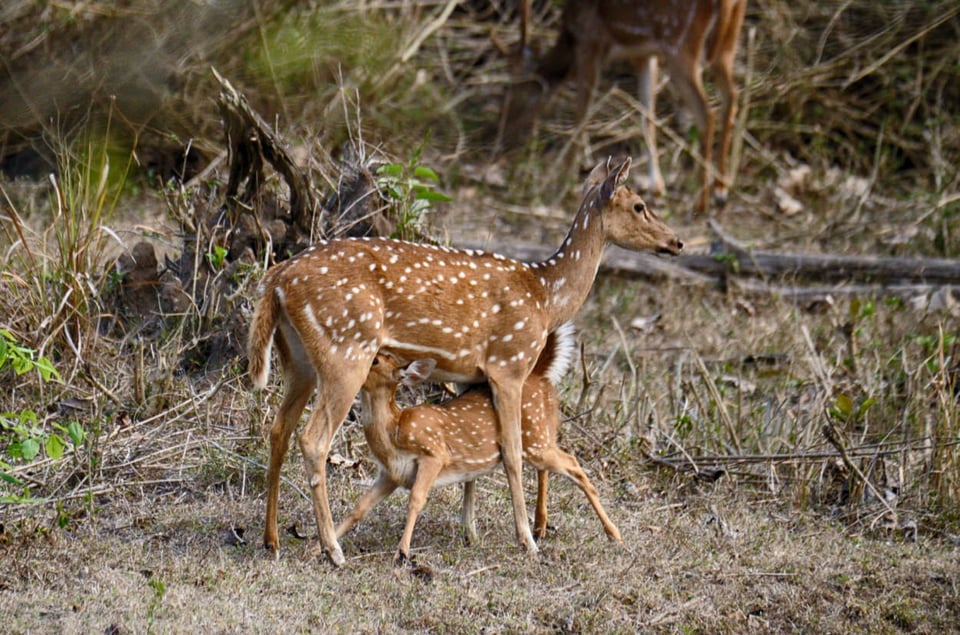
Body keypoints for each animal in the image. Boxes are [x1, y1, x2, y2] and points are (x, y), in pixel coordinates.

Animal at [338, 322, 624, 568]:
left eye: (376, 360)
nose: (350, 361)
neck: (395, 431)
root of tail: (542, 377)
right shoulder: (391, 474)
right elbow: (360, 507)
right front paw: (330, 544)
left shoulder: (434, 453)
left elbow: (416, 500)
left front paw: (402, 553)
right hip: (540, 438)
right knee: (553, 465)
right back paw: (541, 526)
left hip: (536, 441)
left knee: (573, 464)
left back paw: (614, 534)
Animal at [520, 0, 748, 214]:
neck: (569, 35)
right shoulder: (645, 55)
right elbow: (647, 114)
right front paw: (656, 187)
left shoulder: (589, 42)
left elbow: (582, 113)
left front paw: (563, 183)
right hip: (727, 44)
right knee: (731, 97)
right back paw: (721, 190)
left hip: (680, 46)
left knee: (707, 113)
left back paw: (701, 202)